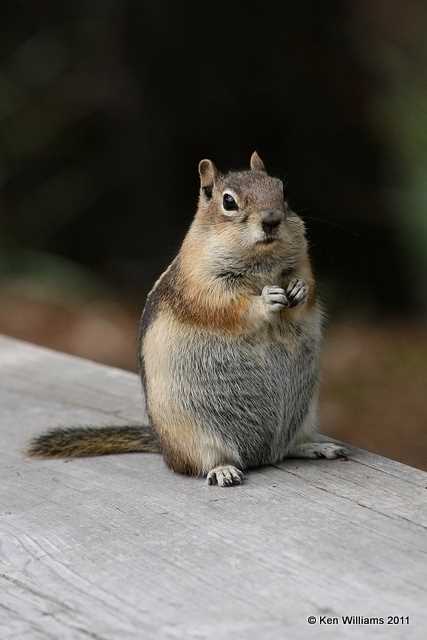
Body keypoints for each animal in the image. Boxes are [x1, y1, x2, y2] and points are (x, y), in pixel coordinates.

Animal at [28, 152, 348, 488]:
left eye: (282, 190)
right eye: (229, 202)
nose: (272, 219)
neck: (262, 262)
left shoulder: (302, 261)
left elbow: (307, 283)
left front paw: (298, 289)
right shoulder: (201, 284)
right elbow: (227, 305)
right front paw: (267, 299)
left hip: (305, 415)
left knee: (290, 447)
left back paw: (317, 447)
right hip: (196, 436)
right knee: (206, 461)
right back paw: (224, 470)